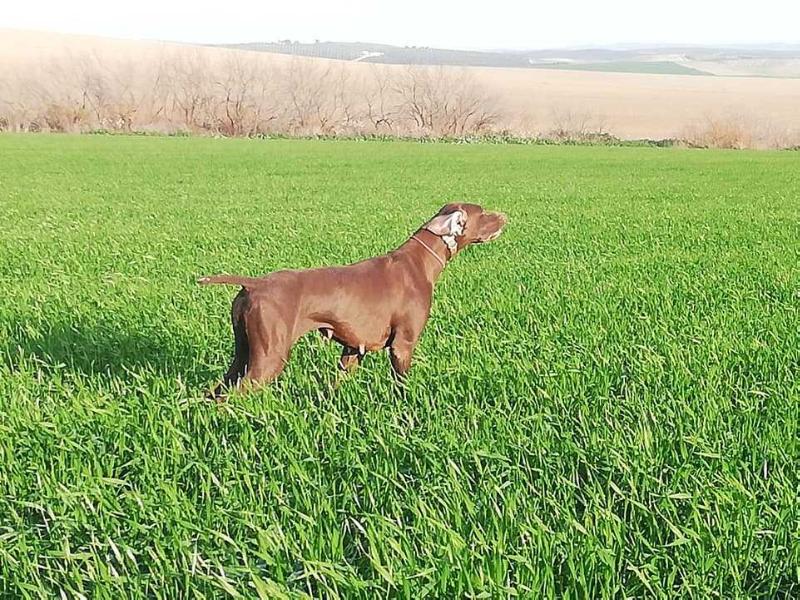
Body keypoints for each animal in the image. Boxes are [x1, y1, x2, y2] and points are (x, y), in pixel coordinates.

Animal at [202, 204, 506, 396]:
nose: (505, 216)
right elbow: (402, 388)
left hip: (242, 355)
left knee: (216, 392)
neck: (419, 263)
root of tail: (255, 284)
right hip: (268, 359)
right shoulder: (402, 346)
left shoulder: (352, 350)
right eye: (483, 212)